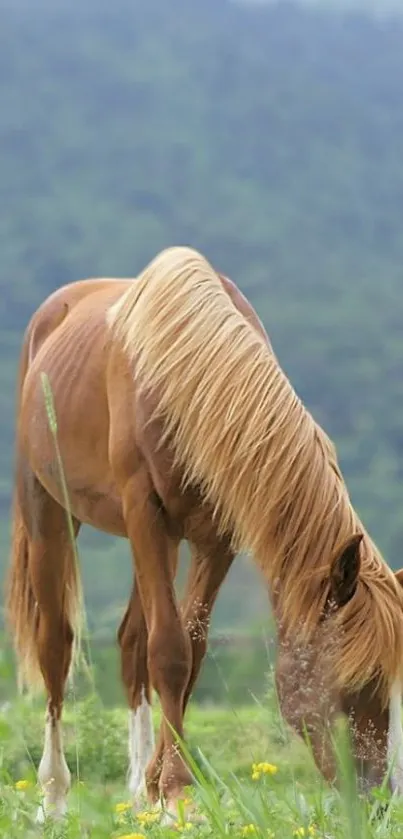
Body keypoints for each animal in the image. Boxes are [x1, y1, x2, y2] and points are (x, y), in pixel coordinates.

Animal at [6, 246, 403, 824]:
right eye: (356, 683)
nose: (377, 803)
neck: (186, 377)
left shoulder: (216, 538)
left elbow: (188, 652)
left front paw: (160, 787)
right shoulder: (146, 514)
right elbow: (170, 653)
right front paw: (173, 795)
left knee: (130, 642)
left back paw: (134, 790)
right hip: (49, 510)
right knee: (56, 643)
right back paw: (54, 797)